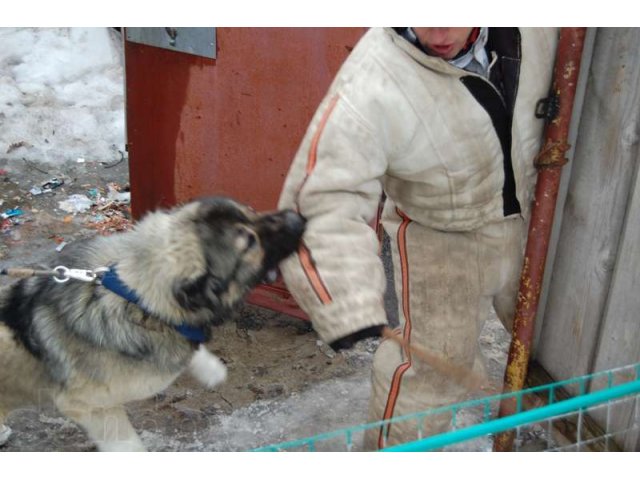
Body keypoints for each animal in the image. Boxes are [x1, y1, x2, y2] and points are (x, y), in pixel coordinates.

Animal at [0, 197, 304, 452]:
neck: (135, 299)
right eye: (251, 243)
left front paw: (210, 369)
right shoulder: (90, 408)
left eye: (250, 211)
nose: (298, 218)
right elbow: (129, 446)